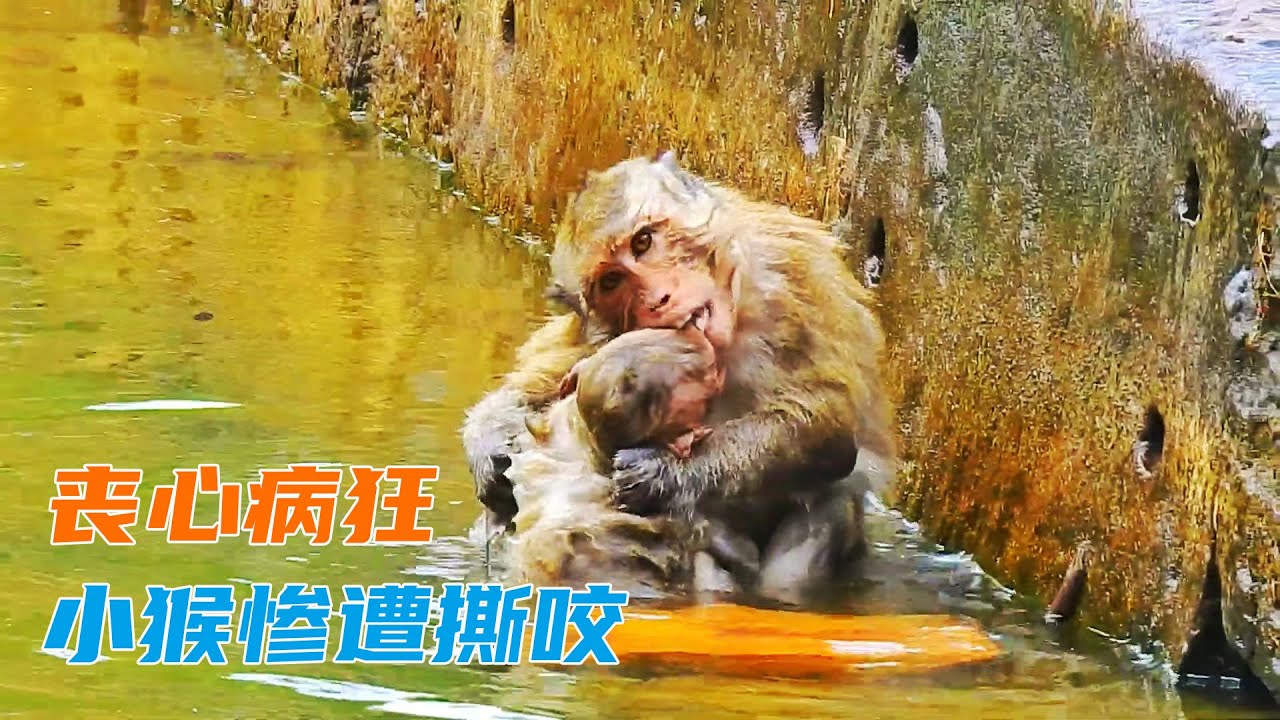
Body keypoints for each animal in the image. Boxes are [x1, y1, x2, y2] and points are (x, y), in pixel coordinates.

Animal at [462, 150, 895, 605]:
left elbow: (830, 424)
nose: (659, 299)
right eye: (611, 281)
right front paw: (488, 445)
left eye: (643, 242)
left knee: (830, 505)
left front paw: (664, 474)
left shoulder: (791, 273)